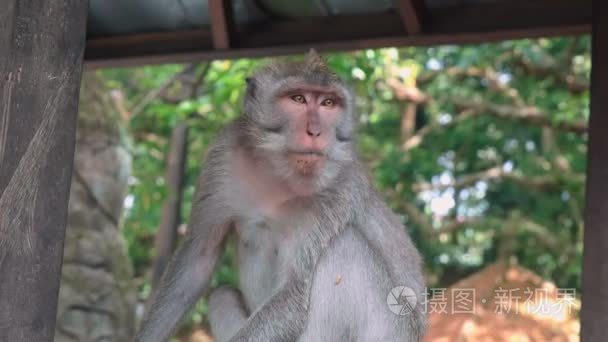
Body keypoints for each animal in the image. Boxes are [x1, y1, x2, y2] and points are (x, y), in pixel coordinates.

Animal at [135, 50, 426, 342]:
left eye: (328, 103)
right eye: (298, 99)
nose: (315, 131)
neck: (276, 172)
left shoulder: (339, 186)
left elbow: (293, 292)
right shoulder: (224, 152)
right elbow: (198, 258)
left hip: (387, 329)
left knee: (344, 246)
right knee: (221, 296)